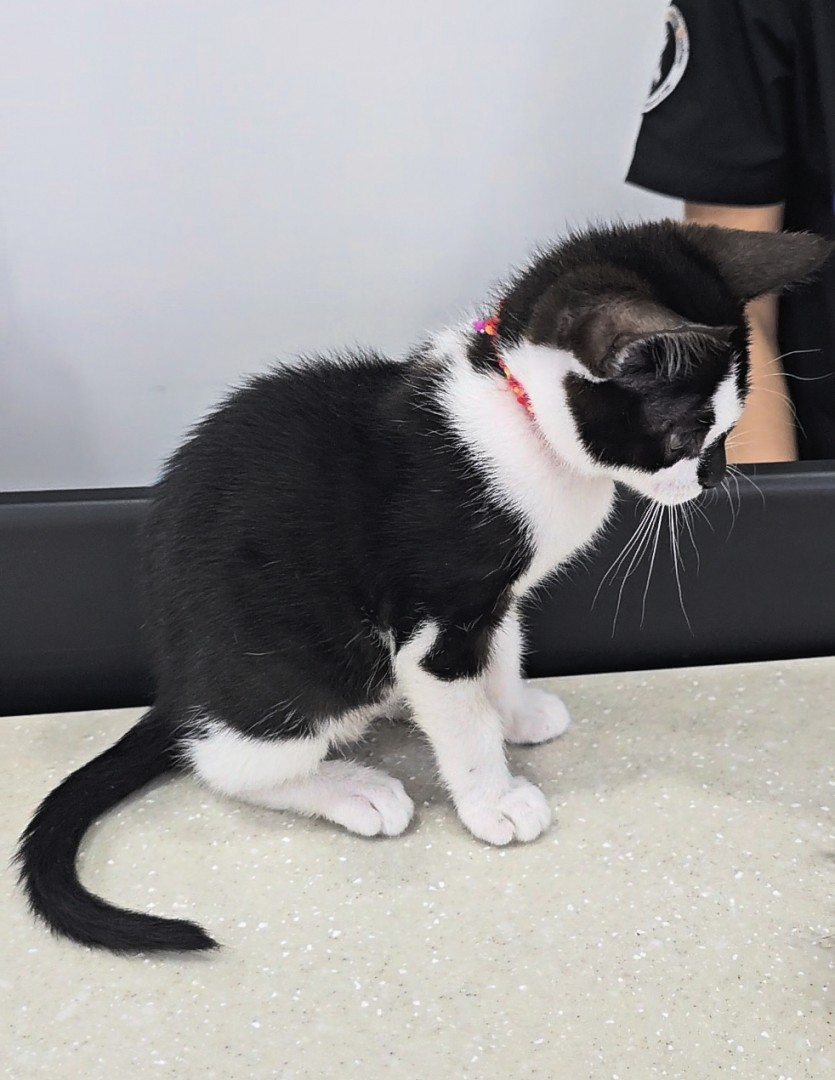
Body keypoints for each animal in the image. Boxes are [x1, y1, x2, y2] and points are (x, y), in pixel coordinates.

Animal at [17, 219, 831, 955]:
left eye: (731, 426)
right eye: (685, 435)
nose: (715, 477)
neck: (519, 423)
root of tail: (179, 689)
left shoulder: (495, 598)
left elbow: (501, 654)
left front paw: (512, 712)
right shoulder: (438, 615)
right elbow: (459, 712)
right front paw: (493, 798)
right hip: (294, 674)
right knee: (225, 762)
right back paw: (348, 786)